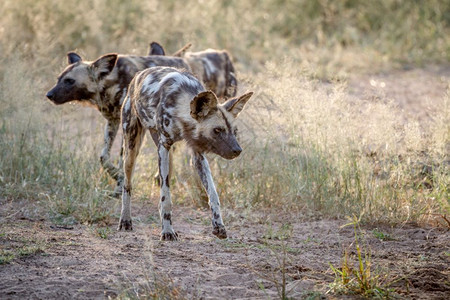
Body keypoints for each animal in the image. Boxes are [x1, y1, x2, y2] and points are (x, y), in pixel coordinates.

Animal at [46, 51, 192, 195]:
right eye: (58, 79)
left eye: (70, 81)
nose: (49, 95)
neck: (110, 83)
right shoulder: (113, 122)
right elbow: (104, 157)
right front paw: (115, 175)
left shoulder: (127, 127)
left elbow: (122, 159)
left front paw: (119, 185)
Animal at [119, 67, 253, 240]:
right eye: (217, 130)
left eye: (234, 131)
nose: (237, 150)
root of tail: (136, 76)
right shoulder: (164, 146)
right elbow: (166, 196)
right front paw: (167, 231)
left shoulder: (197, 153)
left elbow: (213, 194)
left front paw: (219, 226)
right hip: (132, 151)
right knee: (127, 184)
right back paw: (125, 220)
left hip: (166, 154)